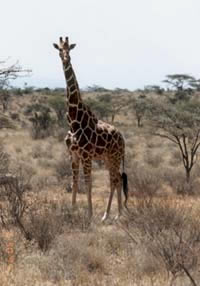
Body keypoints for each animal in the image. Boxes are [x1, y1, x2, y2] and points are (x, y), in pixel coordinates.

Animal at [53, 37, 128, 221]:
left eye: (69, 49)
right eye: (59, 50)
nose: (66, 59)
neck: (74, 120)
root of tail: (123, 138)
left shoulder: (86, 155)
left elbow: (88, 182)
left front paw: (89, 214)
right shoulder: (72, 154)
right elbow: (74, 182)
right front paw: (73, 211)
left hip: (115, 157)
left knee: (115, 180)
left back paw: (114, 214)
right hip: (108, 158)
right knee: (116, 179)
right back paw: (110, 214)